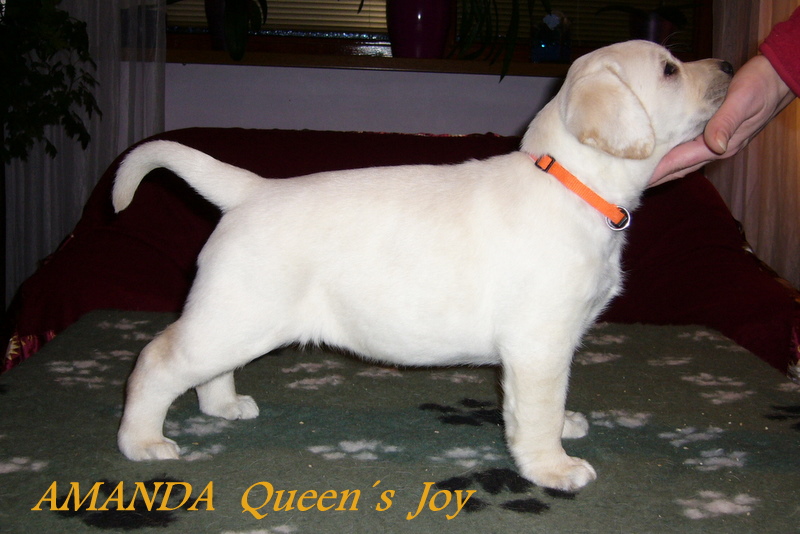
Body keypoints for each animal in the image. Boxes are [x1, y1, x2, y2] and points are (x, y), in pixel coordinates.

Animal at [114, 41, 732, 491]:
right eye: (670, 70)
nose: (729, 64)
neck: (573, 181)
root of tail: (251, 191)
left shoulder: (554, 343)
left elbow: (550, 401)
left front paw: (565, 427)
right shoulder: (539, 341)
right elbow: (536, 410)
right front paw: (552, 467)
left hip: (239, 317)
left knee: (206, 367)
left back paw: (222, 406)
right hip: (237, 313)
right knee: (157, 360)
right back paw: (141, 442)